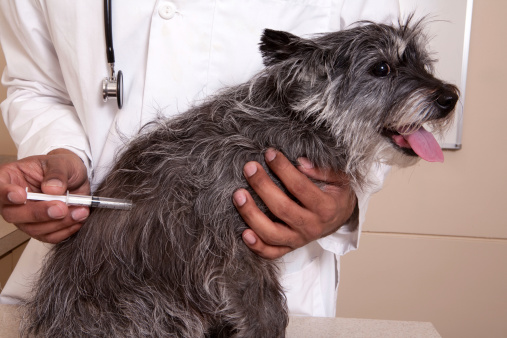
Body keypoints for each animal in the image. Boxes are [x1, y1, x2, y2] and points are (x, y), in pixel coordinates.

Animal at [21, 16, 460, 338]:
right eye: (382, 67)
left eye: (421, 62)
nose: (450, 97)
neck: (294, 123)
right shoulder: (232, 252)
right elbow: (267, 311)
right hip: (150, 305)